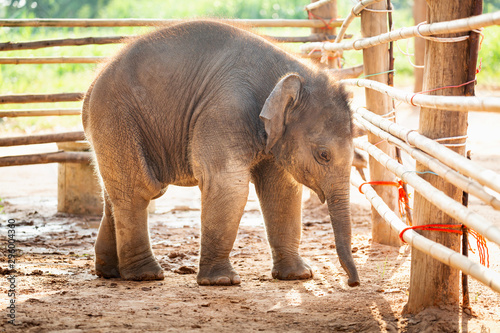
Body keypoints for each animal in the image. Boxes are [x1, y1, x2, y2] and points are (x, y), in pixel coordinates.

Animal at [84, 20, 360, 286]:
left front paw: (298, 276)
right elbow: (227, 184)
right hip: (116, 117)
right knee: (138, 189)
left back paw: (110, 272)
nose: (352, 283)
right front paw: (222, 281)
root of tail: (92, 85)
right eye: (323, 155)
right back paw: (146, 275)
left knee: (116, 193)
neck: (290, 72)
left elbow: (281, 189)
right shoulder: (226, 108)